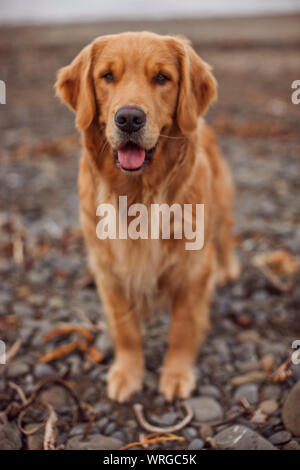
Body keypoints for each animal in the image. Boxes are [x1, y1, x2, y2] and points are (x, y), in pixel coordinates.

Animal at [55, 31, 239, 402]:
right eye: (108, 76)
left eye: (162, 78)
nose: (129, 118)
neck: (139, 194)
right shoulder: (109, 270)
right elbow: (126, 330)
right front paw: (127, 374)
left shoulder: (193, 269)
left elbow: (182, 328)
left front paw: (176, 374)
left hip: (222, 204)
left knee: (225, 237)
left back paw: (228, 270)